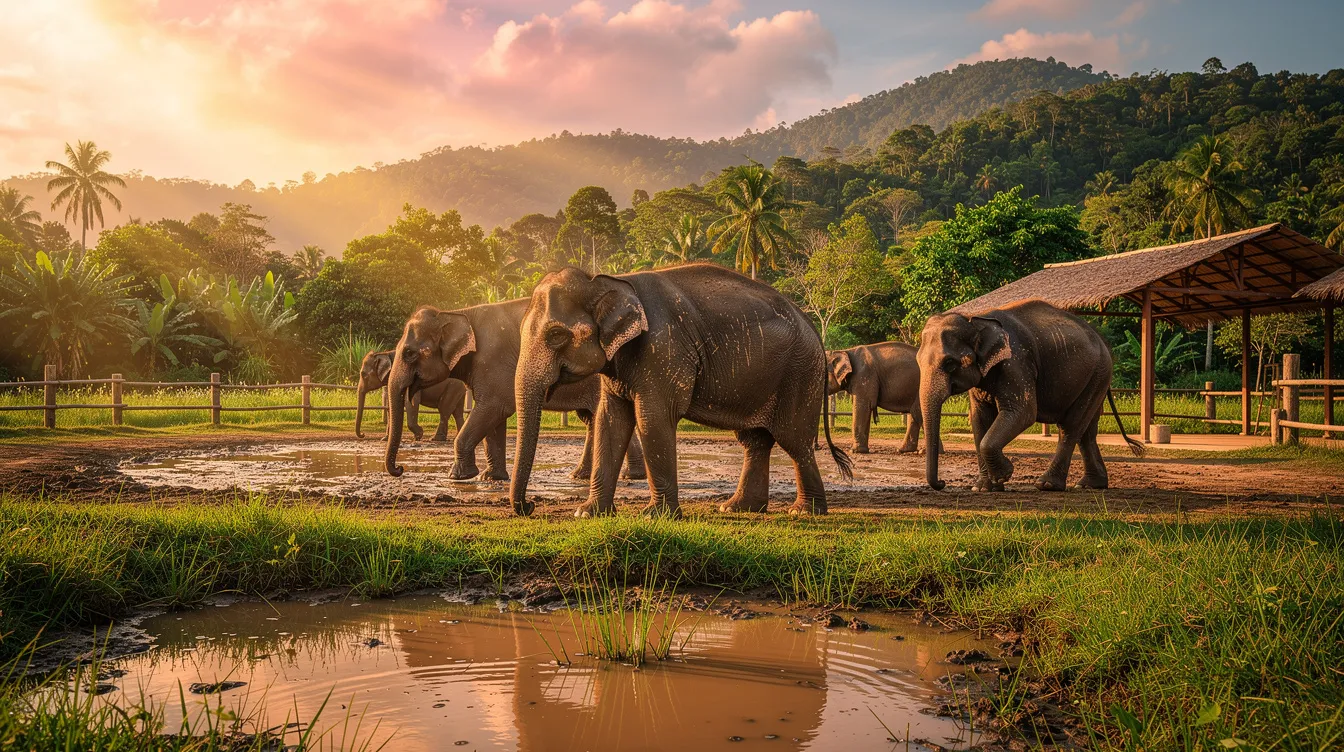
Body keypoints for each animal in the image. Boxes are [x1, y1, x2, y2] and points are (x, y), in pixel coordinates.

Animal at [383, 299, 645, 483]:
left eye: (409, 353)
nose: (400, 469)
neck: (457, 312)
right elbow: (494, 419)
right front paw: (491, 478)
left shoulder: (494, 361)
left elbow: (493, 408)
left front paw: (458, 477)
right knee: (592, 418)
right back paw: (581, 476)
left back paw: (630, 476)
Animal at [509, 263, 853, 519]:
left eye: (556, 335)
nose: (530, 506)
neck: (608, 280)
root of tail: (814, 329)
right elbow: (611, 420)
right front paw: (588, 513)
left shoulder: (663, 348)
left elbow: (652, 419)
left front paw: (656, 517)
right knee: (755, 440)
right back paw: (737, 508)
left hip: (799, 374)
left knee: (795, 441)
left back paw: (803, 512)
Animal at [917, 299, 1142, 492]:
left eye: (950, 363)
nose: (942, 482)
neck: (976, 318)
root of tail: (1103, 342)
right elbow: (979, 418)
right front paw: (983, 488)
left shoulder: (1017, 361)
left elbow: (1023, 412)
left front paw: (1004, 475)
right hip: (1095, 377)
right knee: (1087, 431)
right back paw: (1090, 485)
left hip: (1098, 373)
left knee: (1071, 426)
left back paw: (1048, 485)